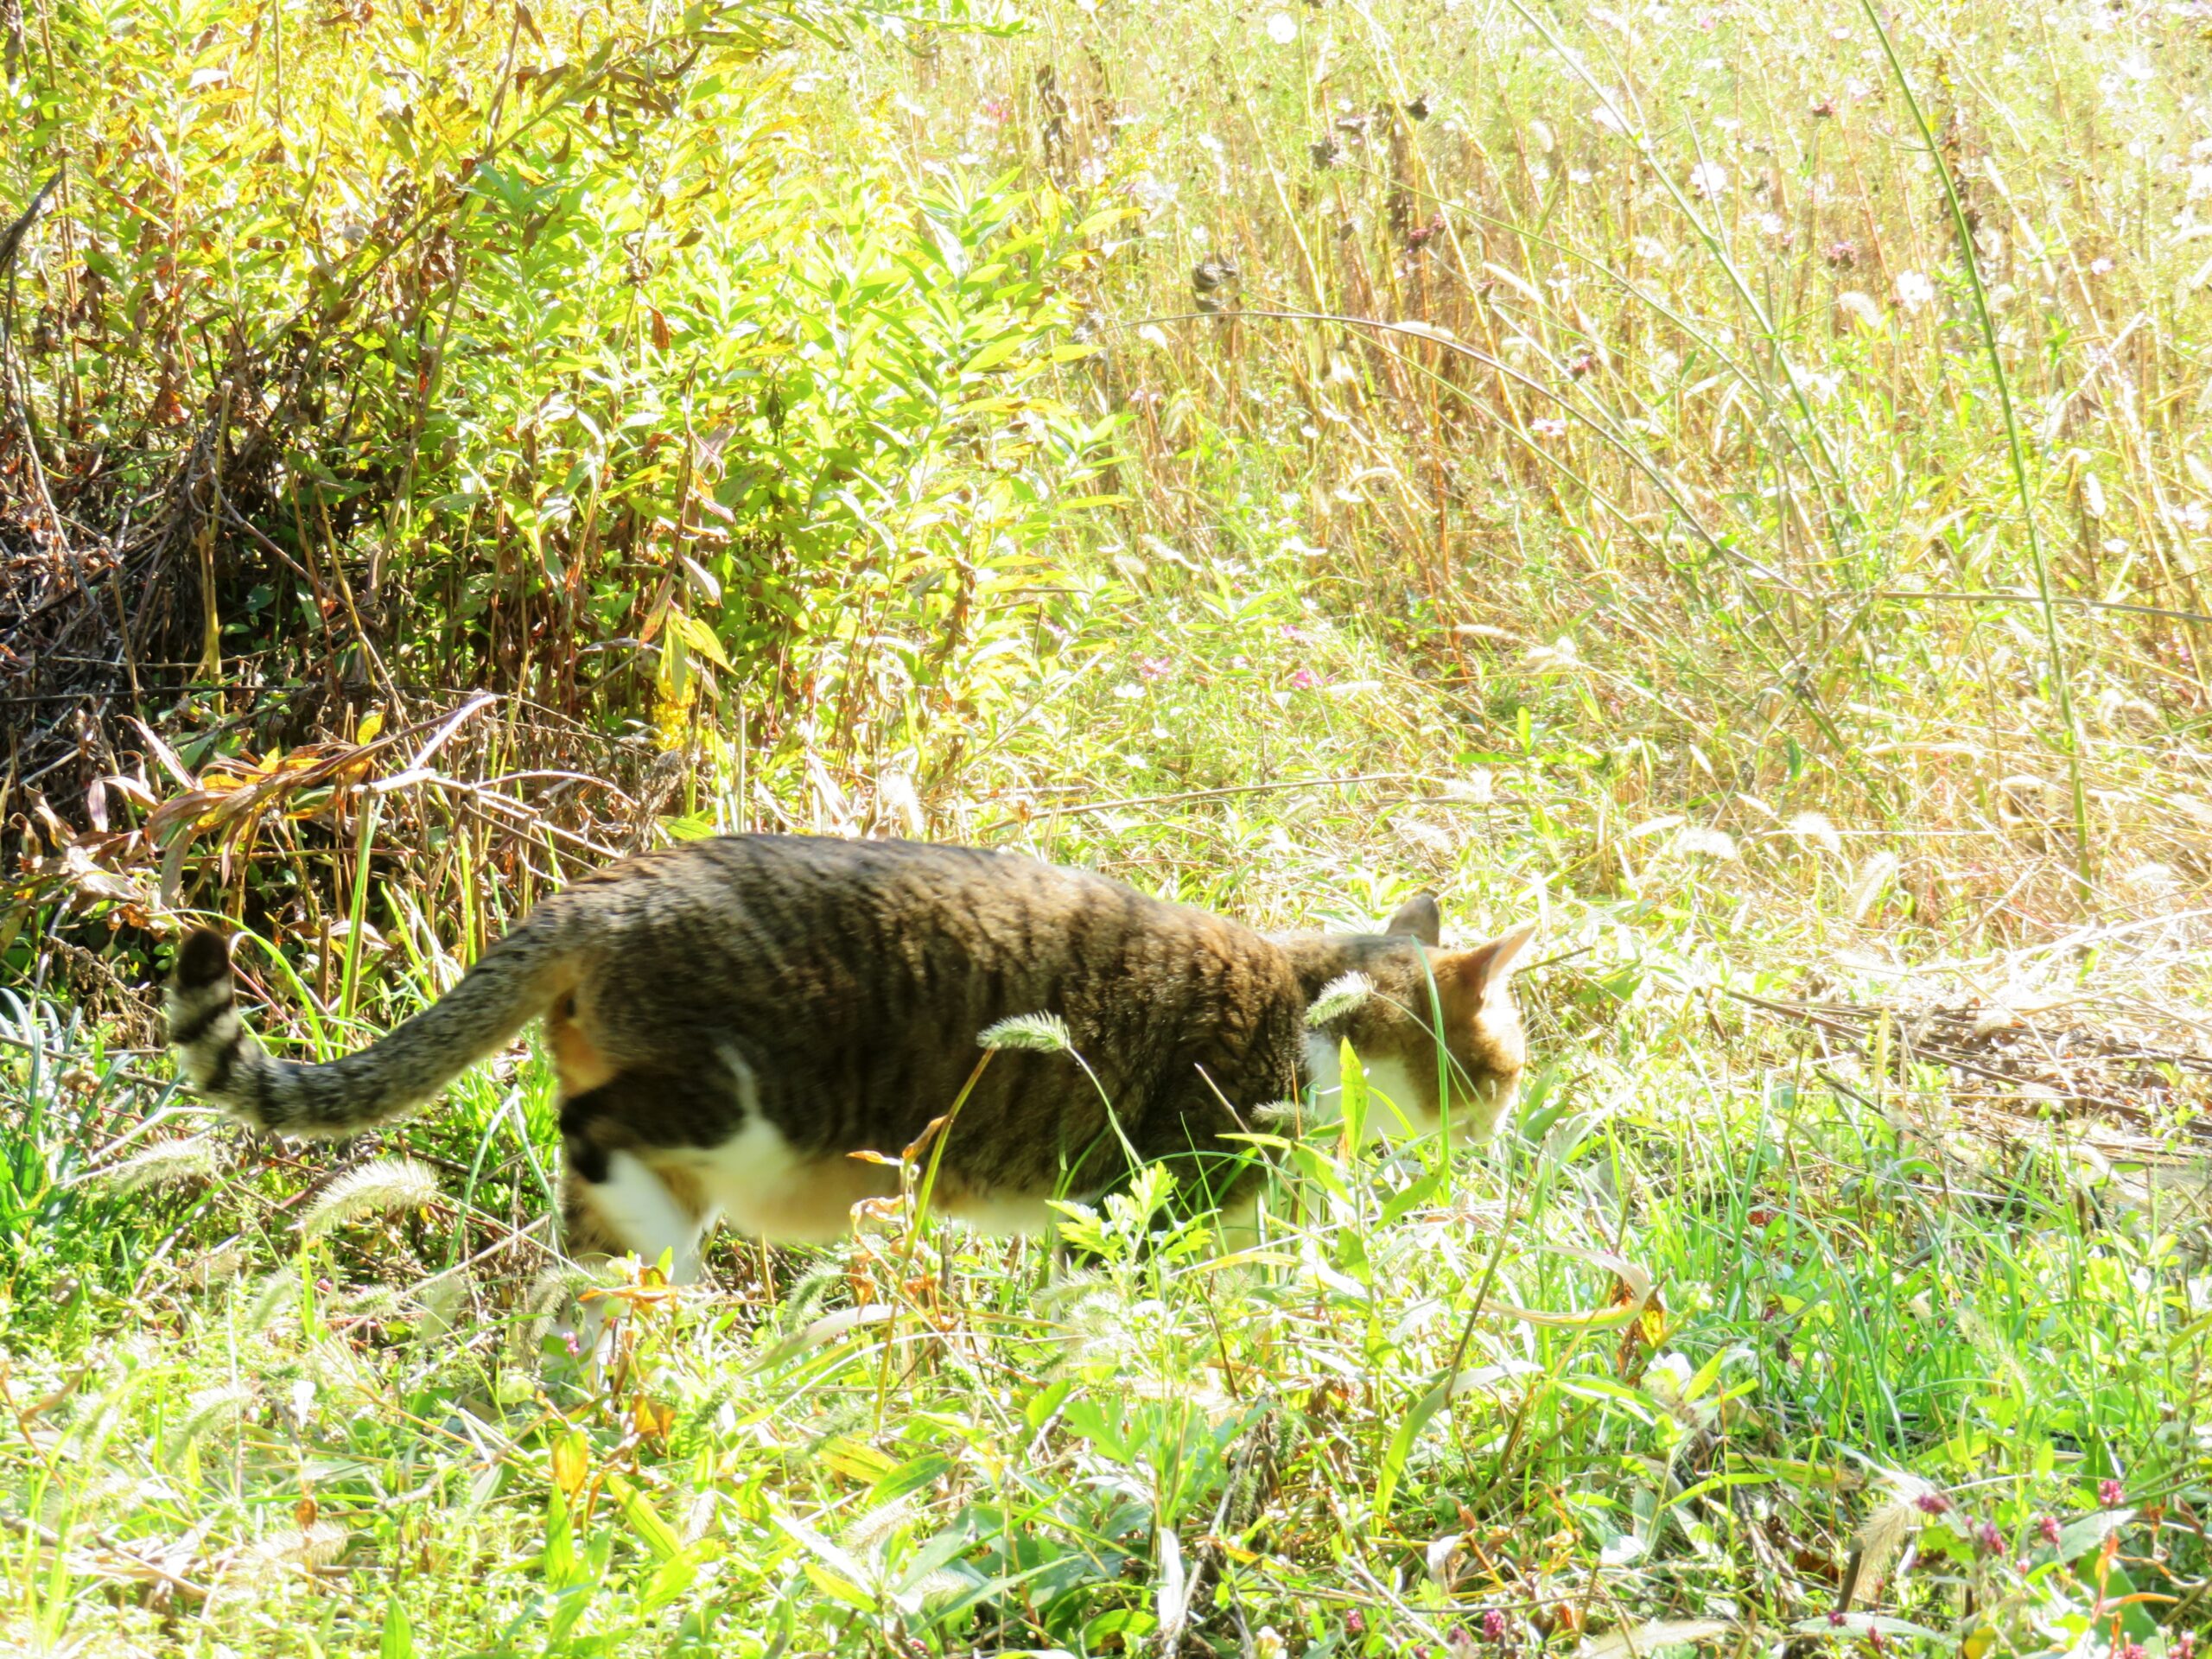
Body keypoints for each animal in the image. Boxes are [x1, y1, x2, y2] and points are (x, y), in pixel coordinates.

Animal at [168, 836, 1539, 1282]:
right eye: (1510, 1068)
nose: (1507, 1129)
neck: (1309, 1009)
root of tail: (614, 888)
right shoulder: (1153, 1206)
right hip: (749, 1101)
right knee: (601, 1130)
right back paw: (679, 1280)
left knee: (588, 1217)